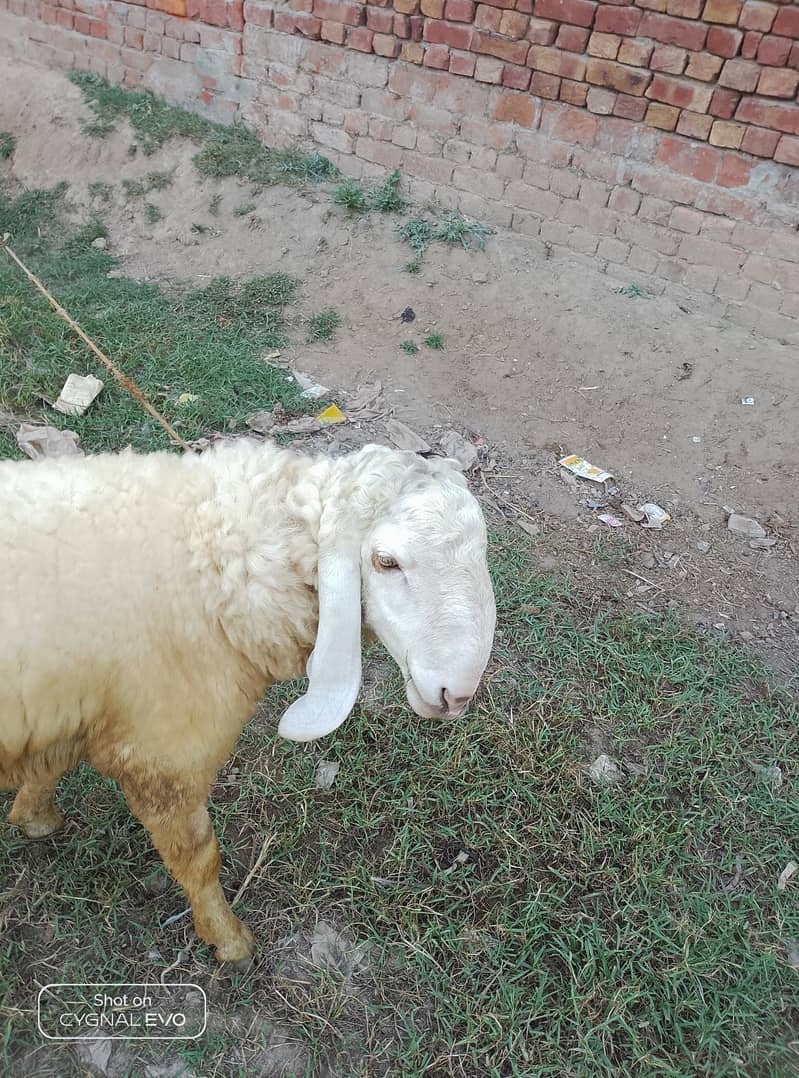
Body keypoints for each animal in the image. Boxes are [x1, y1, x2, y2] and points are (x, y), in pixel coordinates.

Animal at [0, 438, 496, 962]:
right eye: (385, 561)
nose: (455, 694)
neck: (216, 563)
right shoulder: (165, 759)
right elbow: (199, 858)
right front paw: (228, 939)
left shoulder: (72, 709)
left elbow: (51, 765)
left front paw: (34, 818)